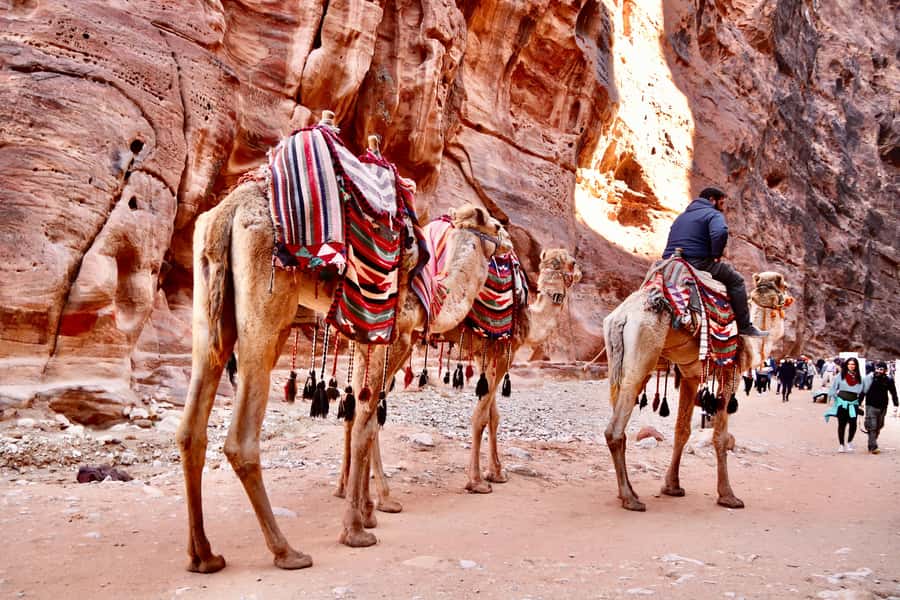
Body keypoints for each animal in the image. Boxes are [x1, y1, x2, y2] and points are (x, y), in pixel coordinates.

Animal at [175, 132, 504, 569]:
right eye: (496, 225)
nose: (508, 243)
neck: (434, 292)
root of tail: (227, 212)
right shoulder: (396, 335)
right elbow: (366, 422)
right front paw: (357, 529)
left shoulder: (367, 338)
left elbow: (364, 416)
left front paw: (369, 510)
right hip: (268, 307)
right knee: (241, 438)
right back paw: (286, 551)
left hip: (209, 308)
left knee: (191, 427)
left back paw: (204, 555)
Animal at [602, 269, 791, 511]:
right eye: (785, 284)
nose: (767, 284)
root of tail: (622, 316)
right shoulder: (730, 372)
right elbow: (720, 436)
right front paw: (728, 496)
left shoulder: (690, 377)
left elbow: (682, 431)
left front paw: (672, 486)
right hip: (642, 354)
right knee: (615, 430)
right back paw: (630, 498)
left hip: (616, 362)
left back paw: (627, 492)